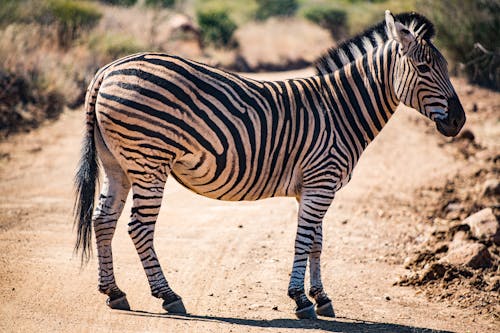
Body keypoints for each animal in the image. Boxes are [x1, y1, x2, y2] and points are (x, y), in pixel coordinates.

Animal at [73, 9, 464, 316]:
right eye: (424, 67)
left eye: (445, 67)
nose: (459, 122)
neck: (340, 111)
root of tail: (108, 69)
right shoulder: (321, 182)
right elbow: (303, 239)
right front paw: (300, 301)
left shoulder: (314, 187)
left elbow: (317, 241)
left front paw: (321, 297)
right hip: (149, 160)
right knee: (138, 227)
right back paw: (168, 296)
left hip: (118, 164)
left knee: (103, 220)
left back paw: (114, 292)